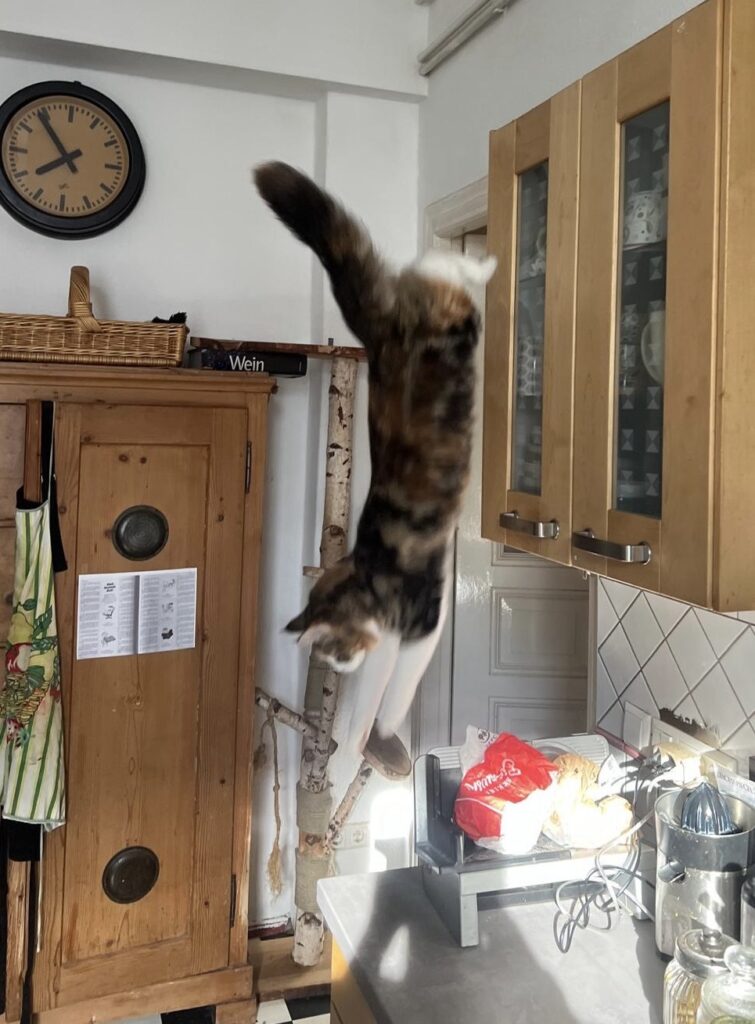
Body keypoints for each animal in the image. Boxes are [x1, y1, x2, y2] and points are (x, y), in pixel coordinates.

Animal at [254, 161, 495, 753]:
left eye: (335, 653)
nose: (341, 669)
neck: (367, 576)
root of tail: (379, 330)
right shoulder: (411, 626)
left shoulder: (422, 625)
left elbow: (396, 696)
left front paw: (382, 738)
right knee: (425, 262)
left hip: (455, 310)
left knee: (442, 265)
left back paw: (488, 263)